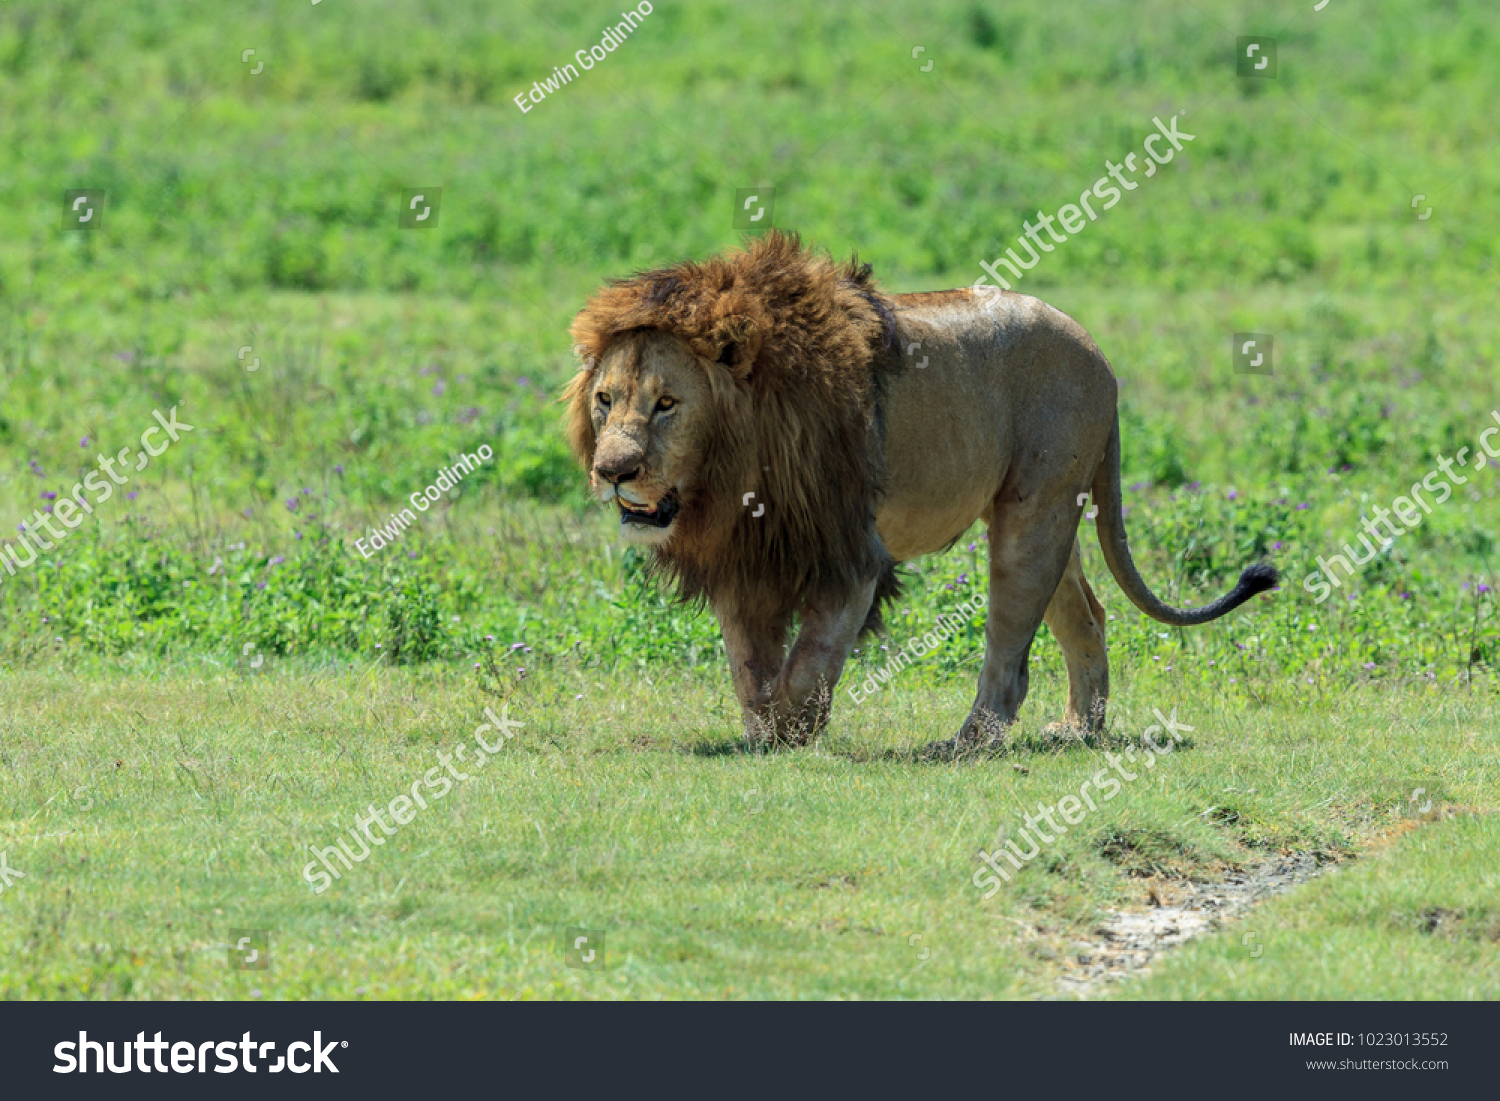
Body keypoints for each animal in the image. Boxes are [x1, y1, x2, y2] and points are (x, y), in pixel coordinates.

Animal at [564, 231, 1278, 750]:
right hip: (1052, 515)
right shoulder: (745, 557)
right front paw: (765, 732)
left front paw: (794, 733)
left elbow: (809, 663)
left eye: (667, 404)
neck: (730, 475)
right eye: (605, 400)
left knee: (1010, 649)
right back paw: (1079, 729)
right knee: (1088, 613)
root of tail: (1099, 352)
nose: (612, 471)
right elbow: (750, 669)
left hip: (1032, 515)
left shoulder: (853, 558)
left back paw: (967, 743)